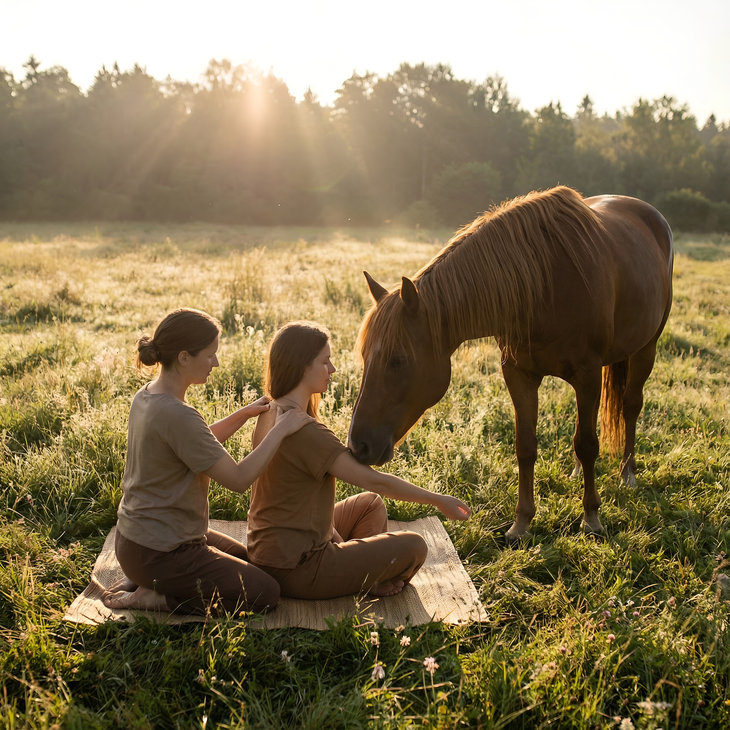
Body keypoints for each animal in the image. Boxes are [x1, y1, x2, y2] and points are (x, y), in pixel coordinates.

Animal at [348, 186, 674, 540]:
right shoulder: (518, 374)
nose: (357, 446)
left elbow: (587, 443)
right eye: (365, 356)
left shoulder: (586, 374)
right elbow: (526, 446)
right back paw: (576, 472)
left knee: (630, 406)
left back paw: (627, 473)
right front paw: (522, 522)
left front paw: (591, 517)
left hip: (646, 349)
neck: (544, 285)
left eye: (398, 360)